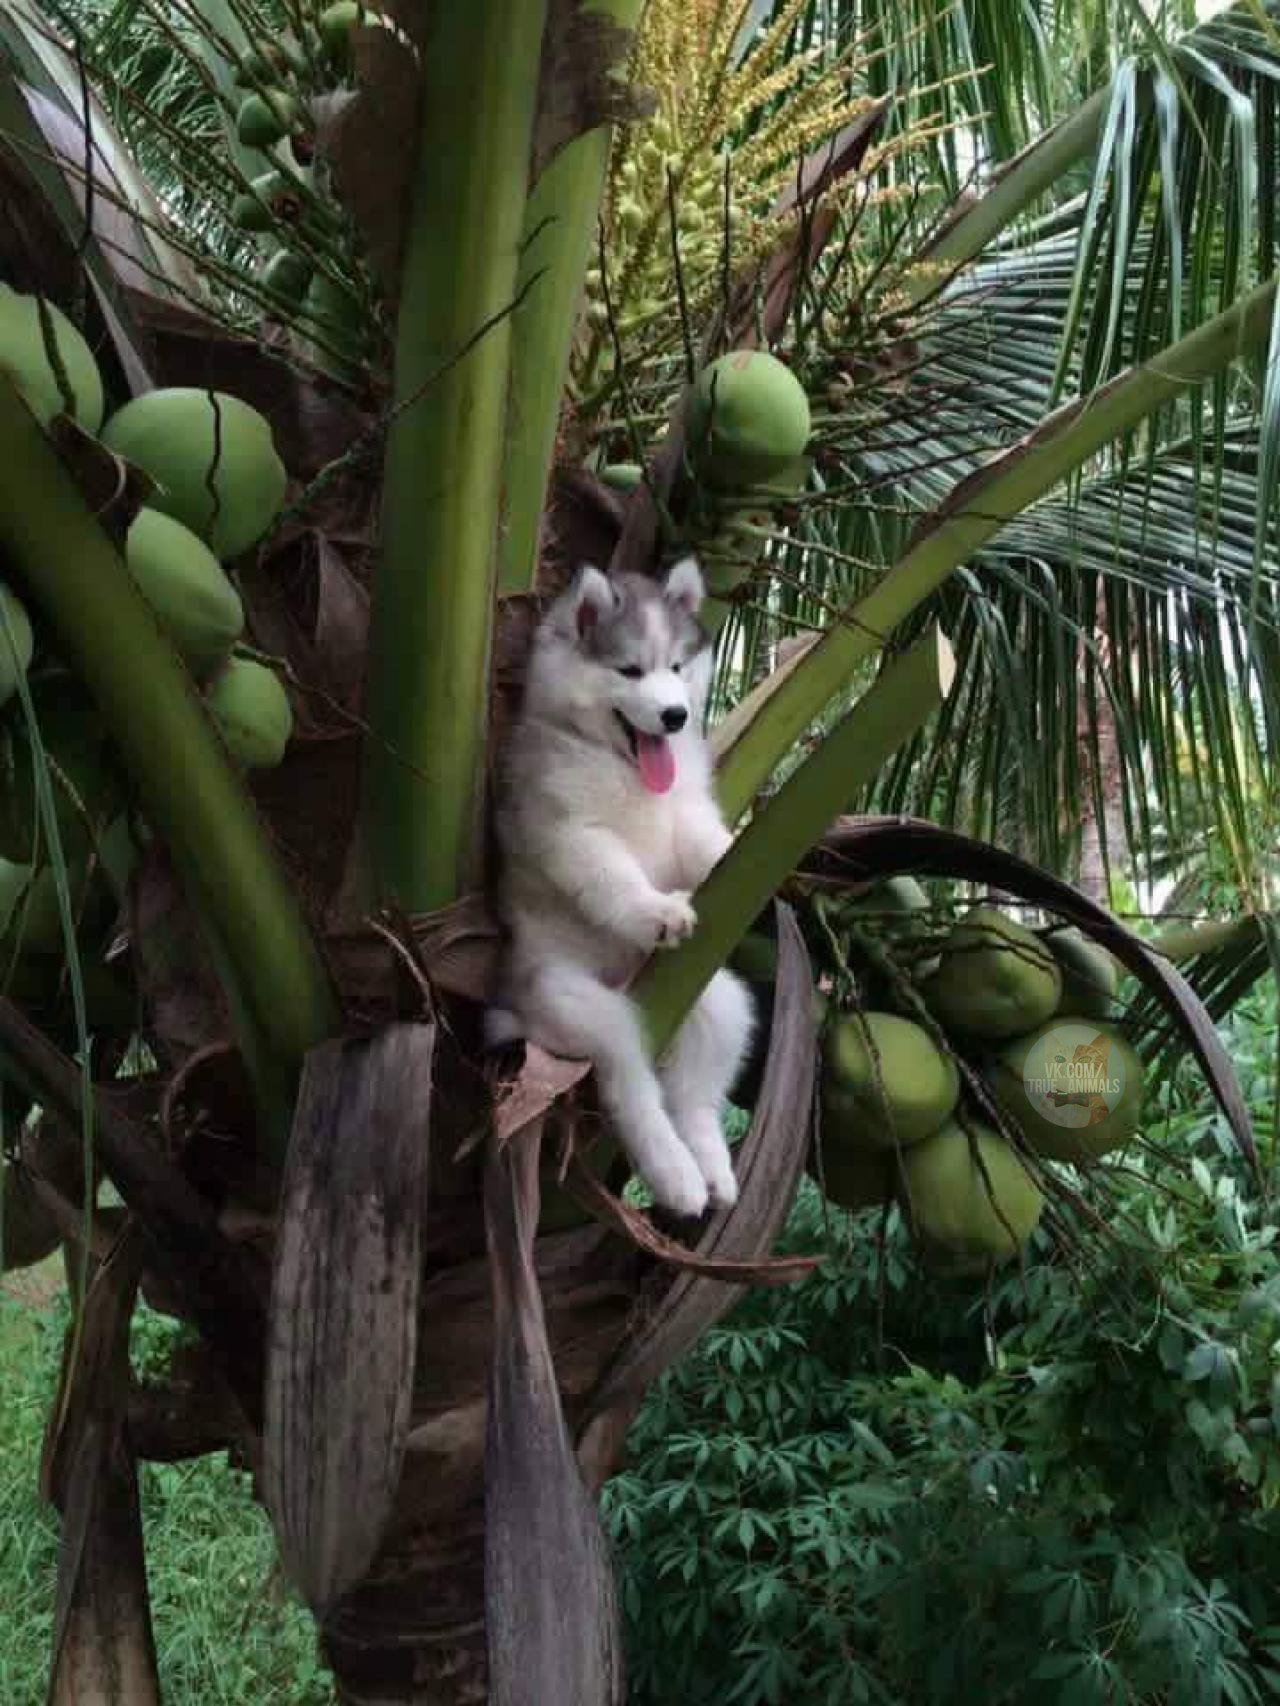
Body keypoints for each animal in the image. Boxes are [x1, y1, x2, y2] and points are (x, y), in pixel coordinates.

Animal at [488, 556, 750, 1214]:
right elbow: (613, 877)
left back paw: (711, 1167)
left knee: (695, 1091)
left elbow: (704, 844)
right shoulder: (571, 833)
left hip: (717, 1000)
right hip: (572, 1002)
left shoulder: (686, 813)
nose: (676, 716)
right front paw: (656, 910)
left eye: (676, 668)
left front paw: (732, 851)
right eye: (630, 670)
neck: (624, 767)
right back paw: (675, 1173)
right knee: (630, 1083)